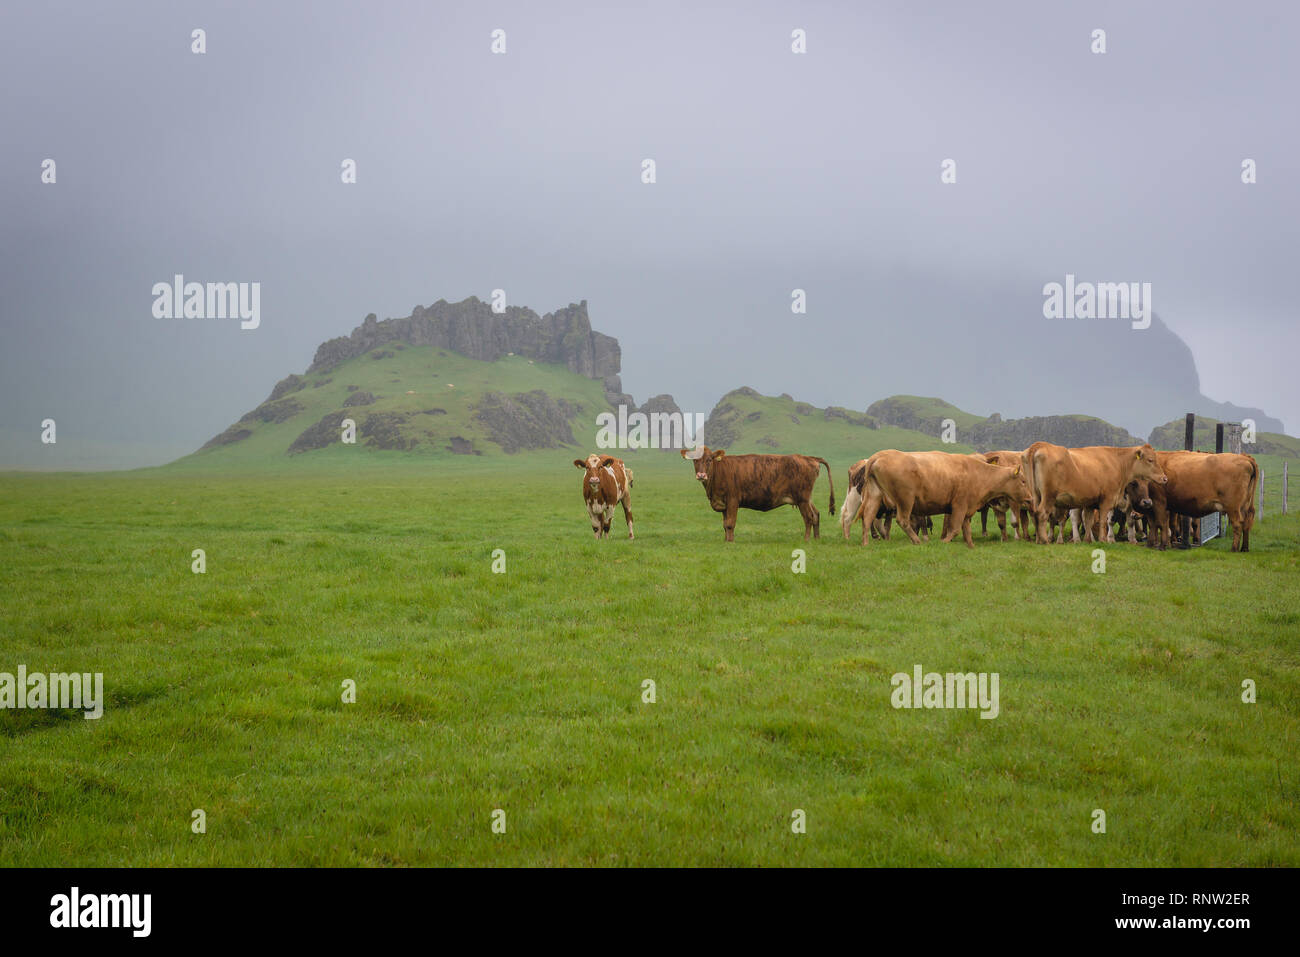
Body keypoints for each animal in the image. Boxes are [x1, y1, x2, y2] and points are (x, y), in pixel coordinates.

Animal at [681, 447, 832, 540]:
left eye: (709, 460)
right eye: (695, 460)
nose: (701, 475)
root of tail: (808, 458)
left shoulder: (733, 500)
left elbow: (730, 523)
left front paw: (730, 542)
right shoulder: (723, 503)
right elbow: (724, 524)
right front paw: (726, 540)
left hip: (802, 499)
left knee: (809, 517)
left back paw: (806, 540)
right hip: (807, 499)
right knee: (816, 514)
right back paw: (817, 539)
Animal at [857, 447, 1029, 546]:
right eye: (1023, 480)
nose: (1029, 499)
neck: (977, 472)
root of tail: (878, 456)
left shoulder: (966, 509)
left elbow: (966, 530)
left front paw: (971, 546)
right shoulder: (959, 505)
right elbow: (955, 529)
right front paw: (944, 542)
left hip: (875, 495)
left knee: (867, 517)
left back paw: (865, 543)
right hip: (906, 499)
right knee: (903, 520)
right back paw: (917, 541)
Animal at [1024, 442, 1170, 546]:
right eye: (1150, 460)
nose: (1164, 478)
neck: (1117, 462)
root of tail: (1041, 445)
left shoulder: (1089, 502)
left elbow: (1088, 521)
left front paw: (1088, 540)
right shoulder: (1107, 500)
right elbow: (1103, 521)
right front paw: (1103, 540)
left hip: (1037, 496)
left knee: (1035, 515)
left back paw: (1038, 539)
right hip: (1048, 497)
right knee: (1042, 514)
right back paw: (1045, 540)